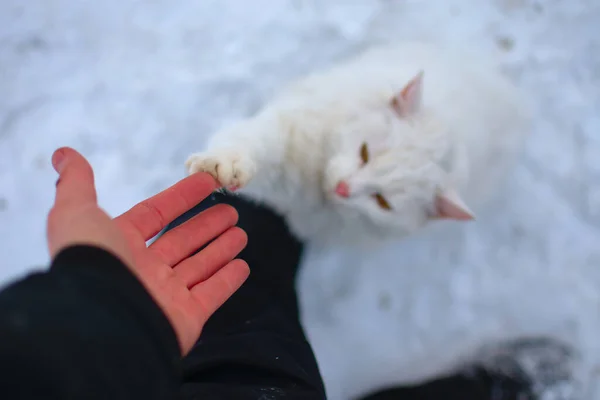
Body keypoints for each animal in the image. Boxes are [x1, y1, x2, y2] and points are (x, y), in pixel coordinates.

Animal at [185, 41, 532, 247]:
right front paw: (225, 164)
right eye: (365, 153)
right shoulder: (288, 131)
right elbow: (251, 143)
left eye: (382, 202)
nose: (343, 189)